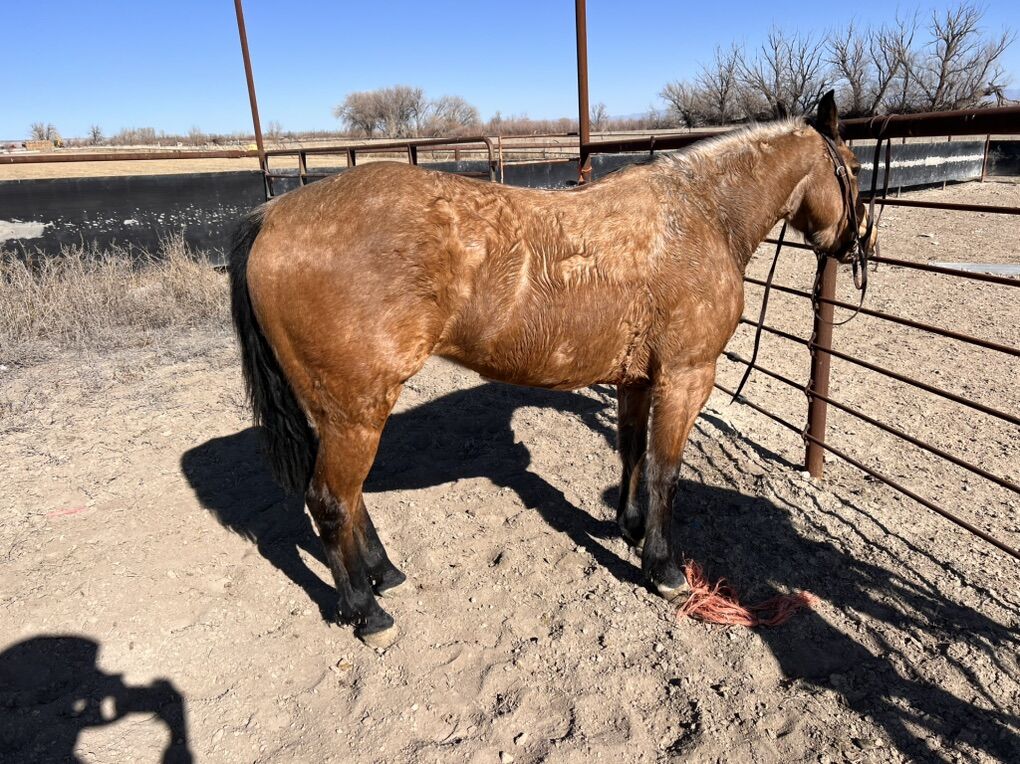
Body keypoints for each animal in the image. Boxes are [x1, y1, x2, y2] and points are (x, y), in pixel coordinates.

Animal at [228, 91, 876, 648]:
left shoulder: (638, 379)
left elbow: (632, 453)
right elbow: (665, 471)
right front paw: (663, 568)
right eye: (852, 167)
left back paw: (384, 574)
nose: (857, 244)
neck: (700, 215)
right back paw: (368, 612)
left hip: (339, 412)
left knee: (349, 498)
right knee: (331, 502)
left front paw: (631, 527)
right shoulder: (685, 377)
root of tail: (274, 215)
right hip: (355, 411)